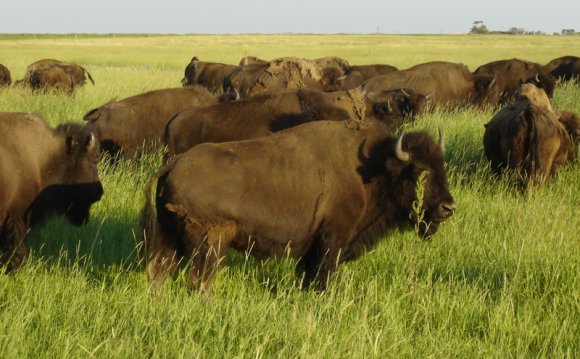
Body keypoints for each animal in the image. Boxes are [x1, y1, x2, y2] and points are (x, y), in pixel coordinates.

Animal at [143, 119, 456, 294]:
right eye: (419, 170)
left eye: (442, 166)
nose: (448, 207)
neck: (374, 166)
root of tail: (173, 164)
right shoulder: (332, 240)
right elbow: (321, 277)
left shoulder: (314, 246)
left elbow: (307, 275)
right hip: (211, 243)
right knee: (199, 278)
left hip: (170, 237)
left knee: (160, 271)